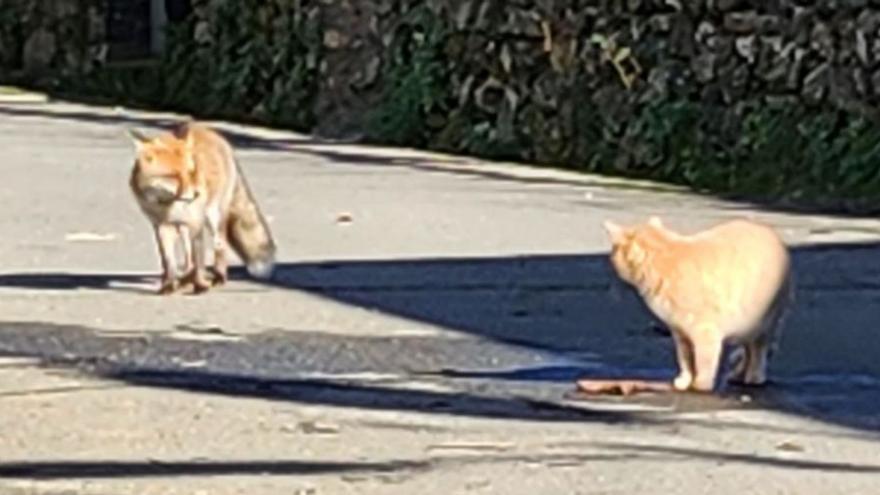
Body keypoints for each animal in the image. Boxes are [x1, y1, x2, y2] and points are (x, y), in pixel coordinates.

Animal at [126, 122, 276, 296]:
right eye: (172, 176)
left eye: (192, 172)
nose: (196, 194)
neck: (168, 205)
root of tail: (208, 129)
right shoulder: (161, 225)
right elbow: (168, 260)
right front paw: (169, 285)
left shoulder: (196, 223)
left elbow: (199, 259)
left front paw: (199, 285)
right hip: (183, 227)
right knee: (188, 257)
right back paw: (184, 279)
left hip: (214, 218)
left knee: (220, 247)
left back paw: (218, 278)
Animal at [600, 216, 796, 392]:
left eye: (613, 252)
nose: (610, 259)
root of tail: (773, 234)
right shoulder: (679, 332)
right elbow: (685, 359)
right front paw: (685, 380)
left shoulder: (706, 331)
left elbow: (704, 361)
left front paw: (701, 384)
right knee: (748, 349)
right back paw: (739, 374)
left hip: (764, 320)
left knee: (758, 349)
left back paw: (755, 377)